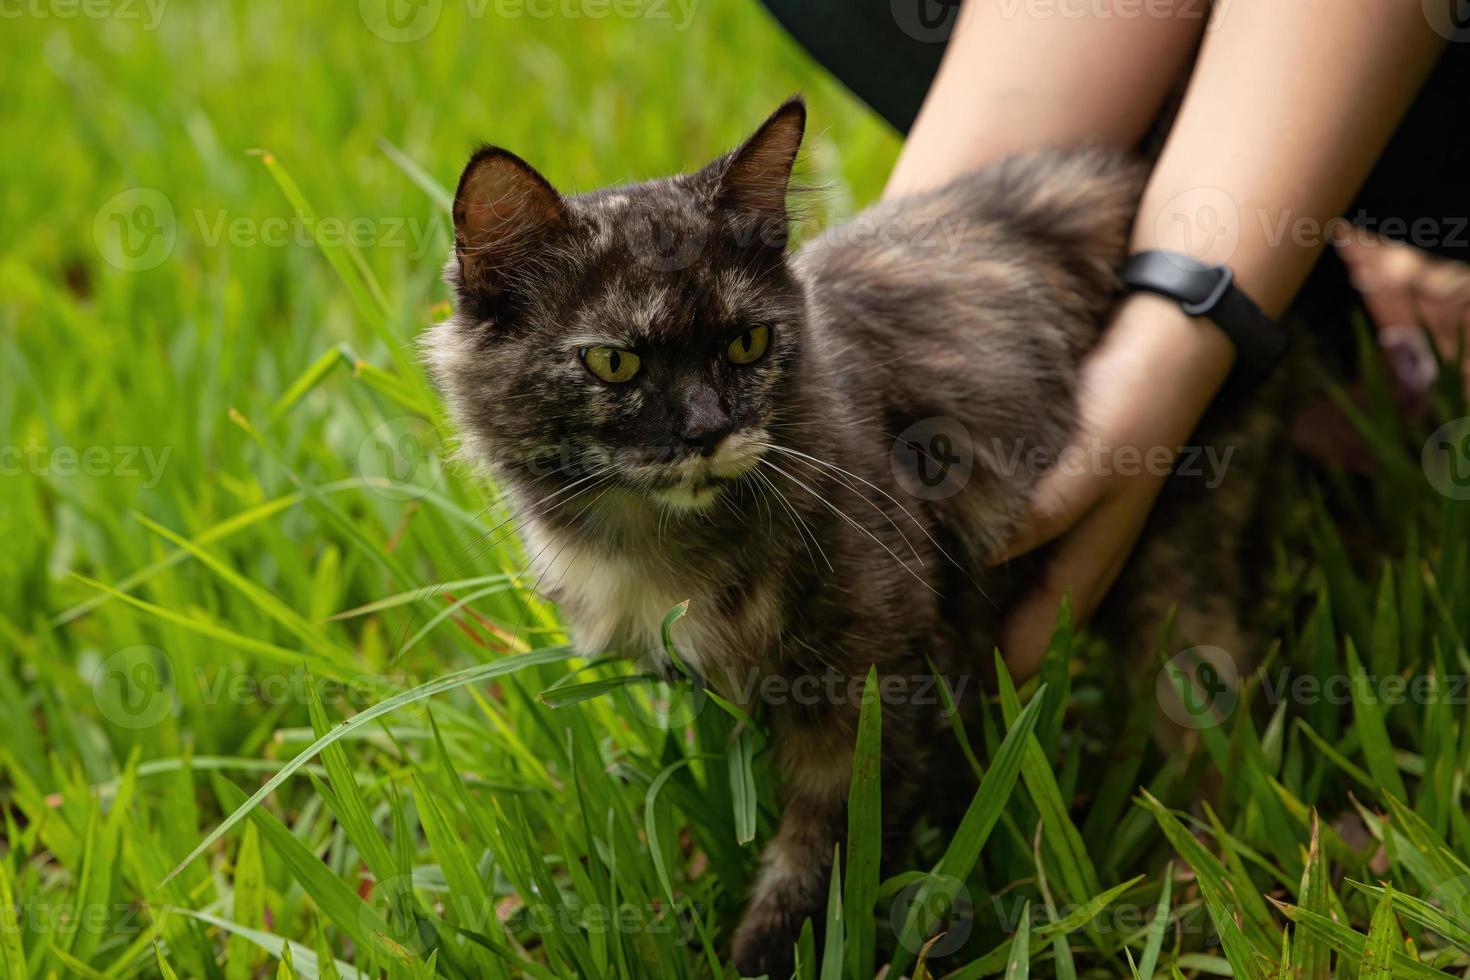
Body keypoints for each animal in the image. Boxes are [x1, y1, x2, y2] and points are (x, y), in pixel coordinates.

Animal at [426, 97, 1275, 975]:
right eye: (614, 363)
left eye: (747, 344)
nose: (706, 430)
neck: (658, 539)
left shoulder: (876, 695)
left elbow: (820, 868)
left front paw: (767, 957)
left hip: (1181, 602)